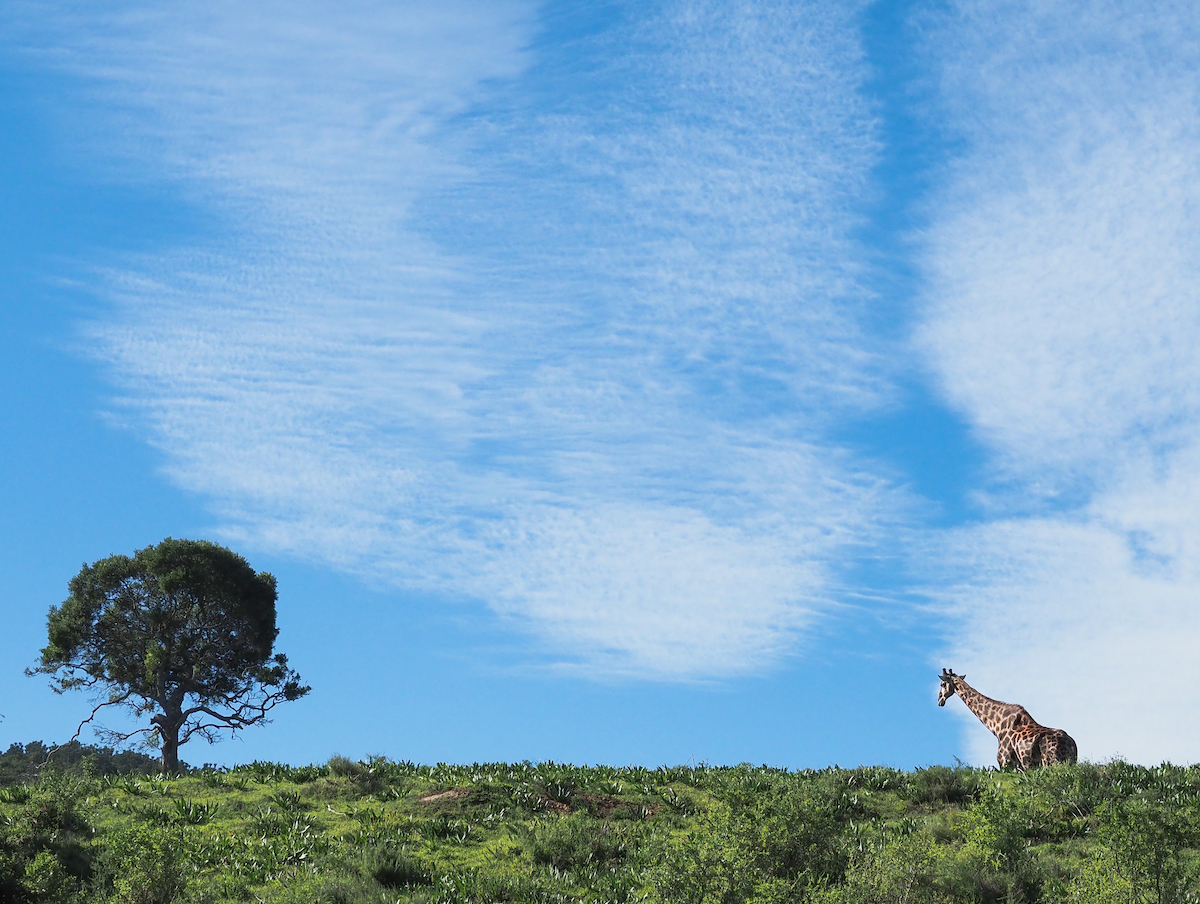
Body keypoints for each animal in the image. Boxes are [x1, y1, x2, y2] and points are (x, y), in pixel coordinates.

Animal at [936, 662, 1080, 768]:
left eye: (942, 684)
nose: (939, 700)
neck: (996, 726)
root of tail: (1072, 744)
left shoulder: (1006, 763)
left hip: (1052, 762)